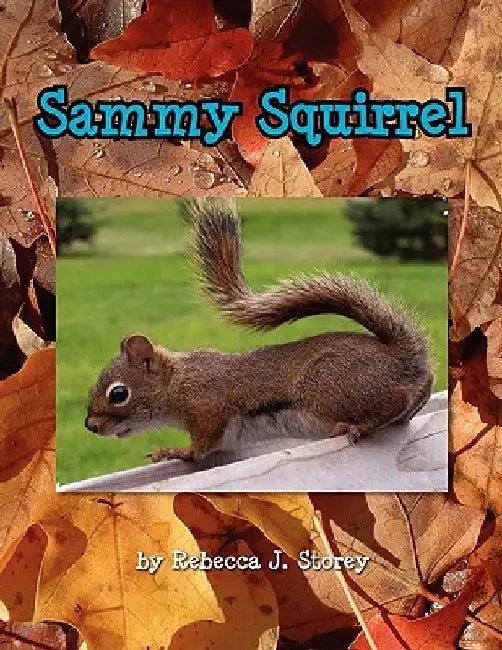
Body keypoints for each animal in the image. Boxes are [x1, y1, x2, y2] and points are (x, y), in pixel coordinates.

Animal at [85, 199, 433, 463]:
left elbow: (202, 446)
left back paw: (358, 425)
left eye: (119, 394)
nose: (90, 426)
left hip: (328, 388)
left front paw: (175, 451)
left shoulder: (209, 407)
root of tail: (402, 358)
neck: (178, 382)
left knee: (393, 399)